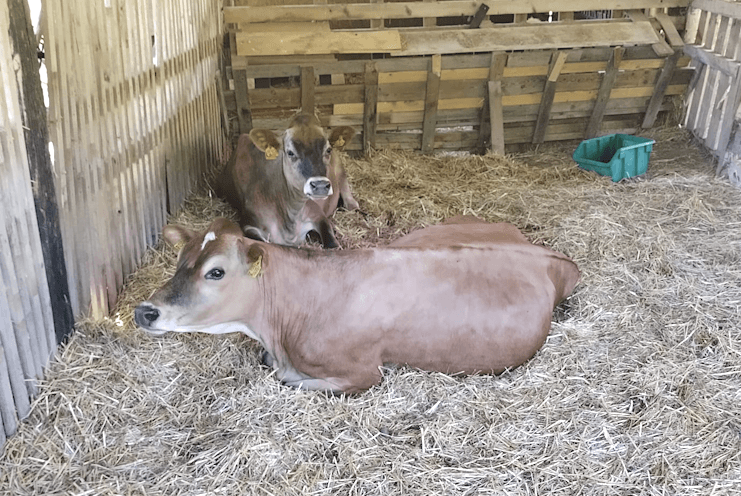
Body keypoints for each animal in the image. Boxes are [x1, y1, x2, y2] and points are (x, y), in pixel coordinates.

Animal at [134, 217, 580, 394]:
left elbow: (288, 380)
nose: (144, 311)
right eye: (179, 260)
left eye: (216, 272)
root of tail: (549, 254)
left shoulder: (364, 374)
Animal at [214, 114, 358, 249]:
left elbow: (332, 244)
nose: (320, 185)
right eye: (290, 152)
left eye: (328, 150)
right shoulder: (249, 224)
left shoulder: (318, 214)